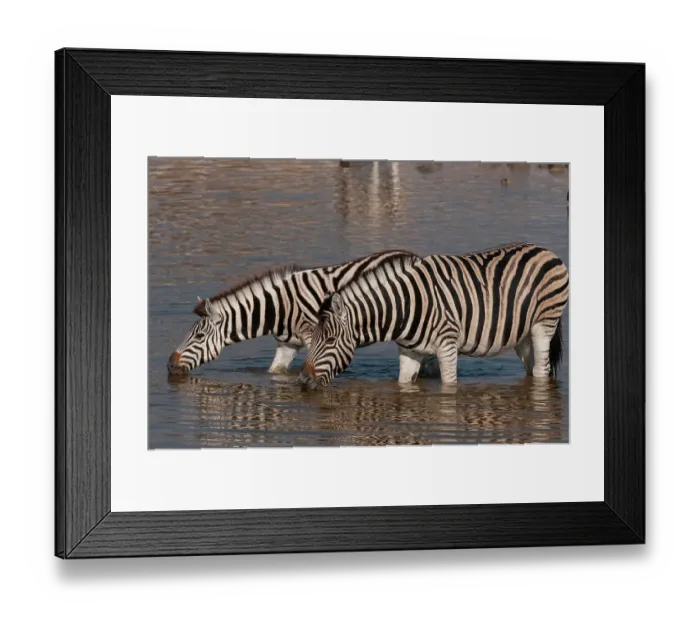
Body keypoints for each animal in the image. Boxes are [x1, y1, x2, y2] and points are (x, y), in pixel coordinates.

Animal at [166, 250, 439, 377]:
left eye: (198, 337)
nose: (169, 366)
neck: (277, 308)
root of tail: (415, 256)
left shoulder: (312, 338)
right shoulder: (287, 345)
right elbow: (274, 371)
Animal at [298, 242, 569, 389]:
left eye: (330, 340)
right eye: (313, 338)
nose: (301, 380)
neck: (405, 306)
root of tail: (545, 250)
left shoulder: (447, 346)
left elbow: (449, 386)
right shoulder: (409, 352)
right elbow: (403, 384)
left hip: (543, 326)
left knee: (542, 370)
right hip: (523, 336)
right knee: (533, 369)